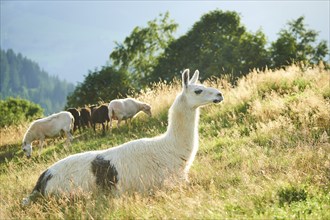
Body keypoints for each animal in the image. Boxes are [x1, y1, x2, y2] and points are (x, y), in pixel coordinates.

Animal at [22, 69, 224, 205]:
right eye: (198, 90)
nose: (220, 94)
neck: (169, 148)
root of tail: (43, 178)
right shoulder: (167, 184)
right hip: (69, 193)